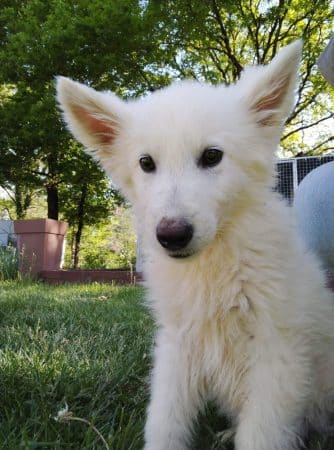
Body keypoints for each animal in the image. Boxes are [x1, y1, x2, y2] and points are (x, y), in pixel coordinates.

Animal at [56, 40, 334, 448]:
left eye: (212, 156)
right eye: (146, 163)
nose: (172, 234)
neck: (212, 264)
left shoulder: (277, 352)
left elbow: (261, 433)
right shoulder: (177, 345)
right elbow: (165, 420)